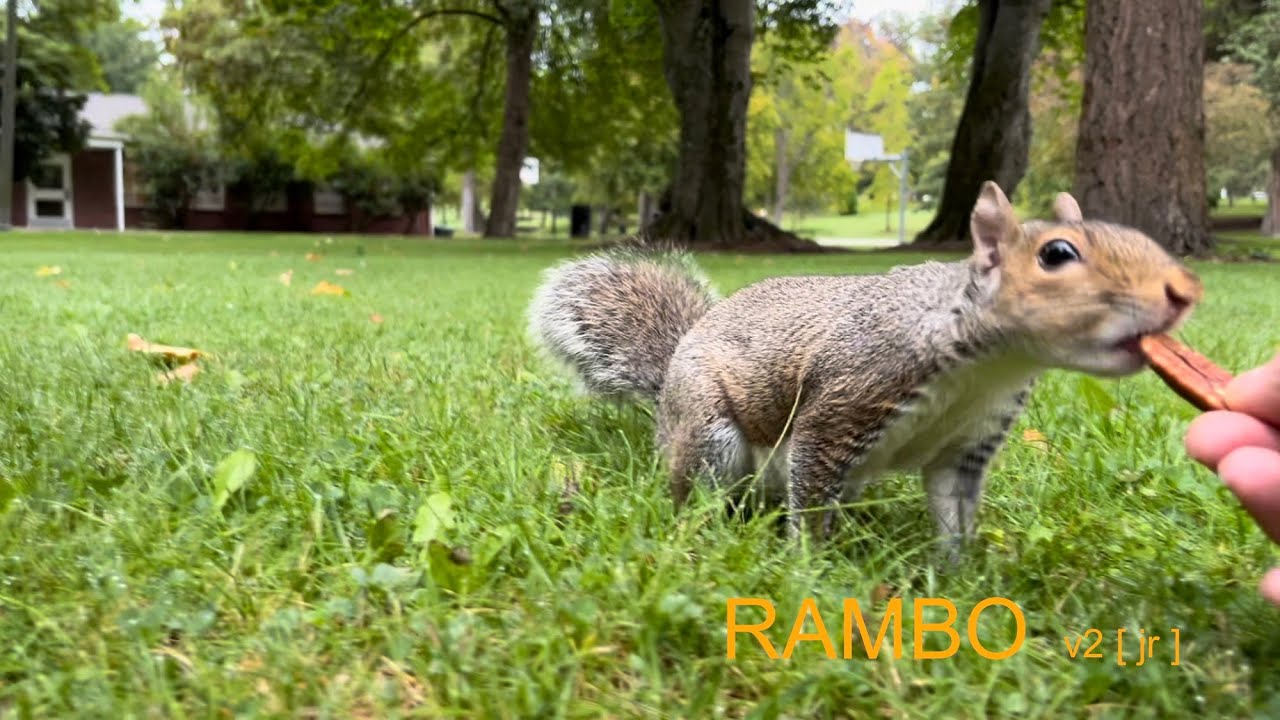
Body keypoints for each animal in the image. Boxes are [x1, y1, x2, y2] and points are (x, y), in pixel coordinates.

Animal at [528, 182, 1204, 547]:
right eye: (1057, 254)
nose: (1184, 292)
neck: (985, 365)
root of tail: (670, 375)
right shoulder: (843, 405)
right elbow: (810, 496)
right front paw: (810, 567)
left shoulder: (968, 443)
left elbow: (953, 510)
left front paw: (959, 575)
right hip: (708, 433)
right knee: (697, 491)